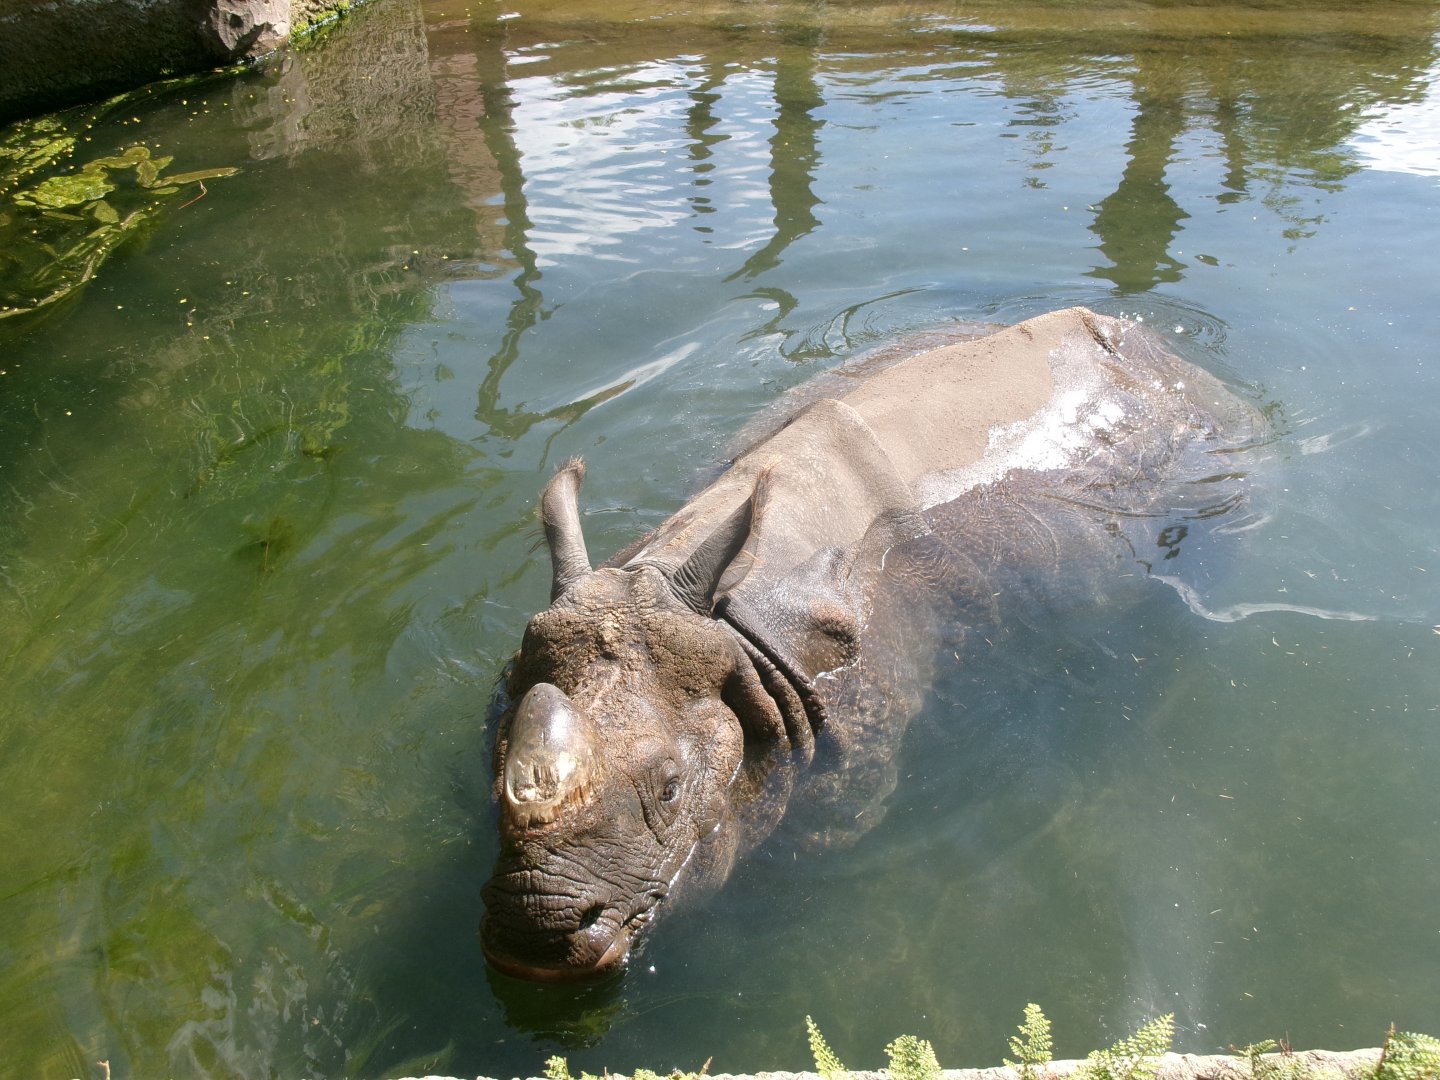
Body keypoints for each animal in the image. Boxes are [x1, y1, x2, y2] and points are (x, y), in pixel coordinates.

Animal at [480, 306, 1265, 981]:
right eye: (497, 766)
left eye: (672, 790)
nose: (533, 940)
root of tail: (1159, 344)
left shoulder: (853, 742)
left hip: (1210, 425)